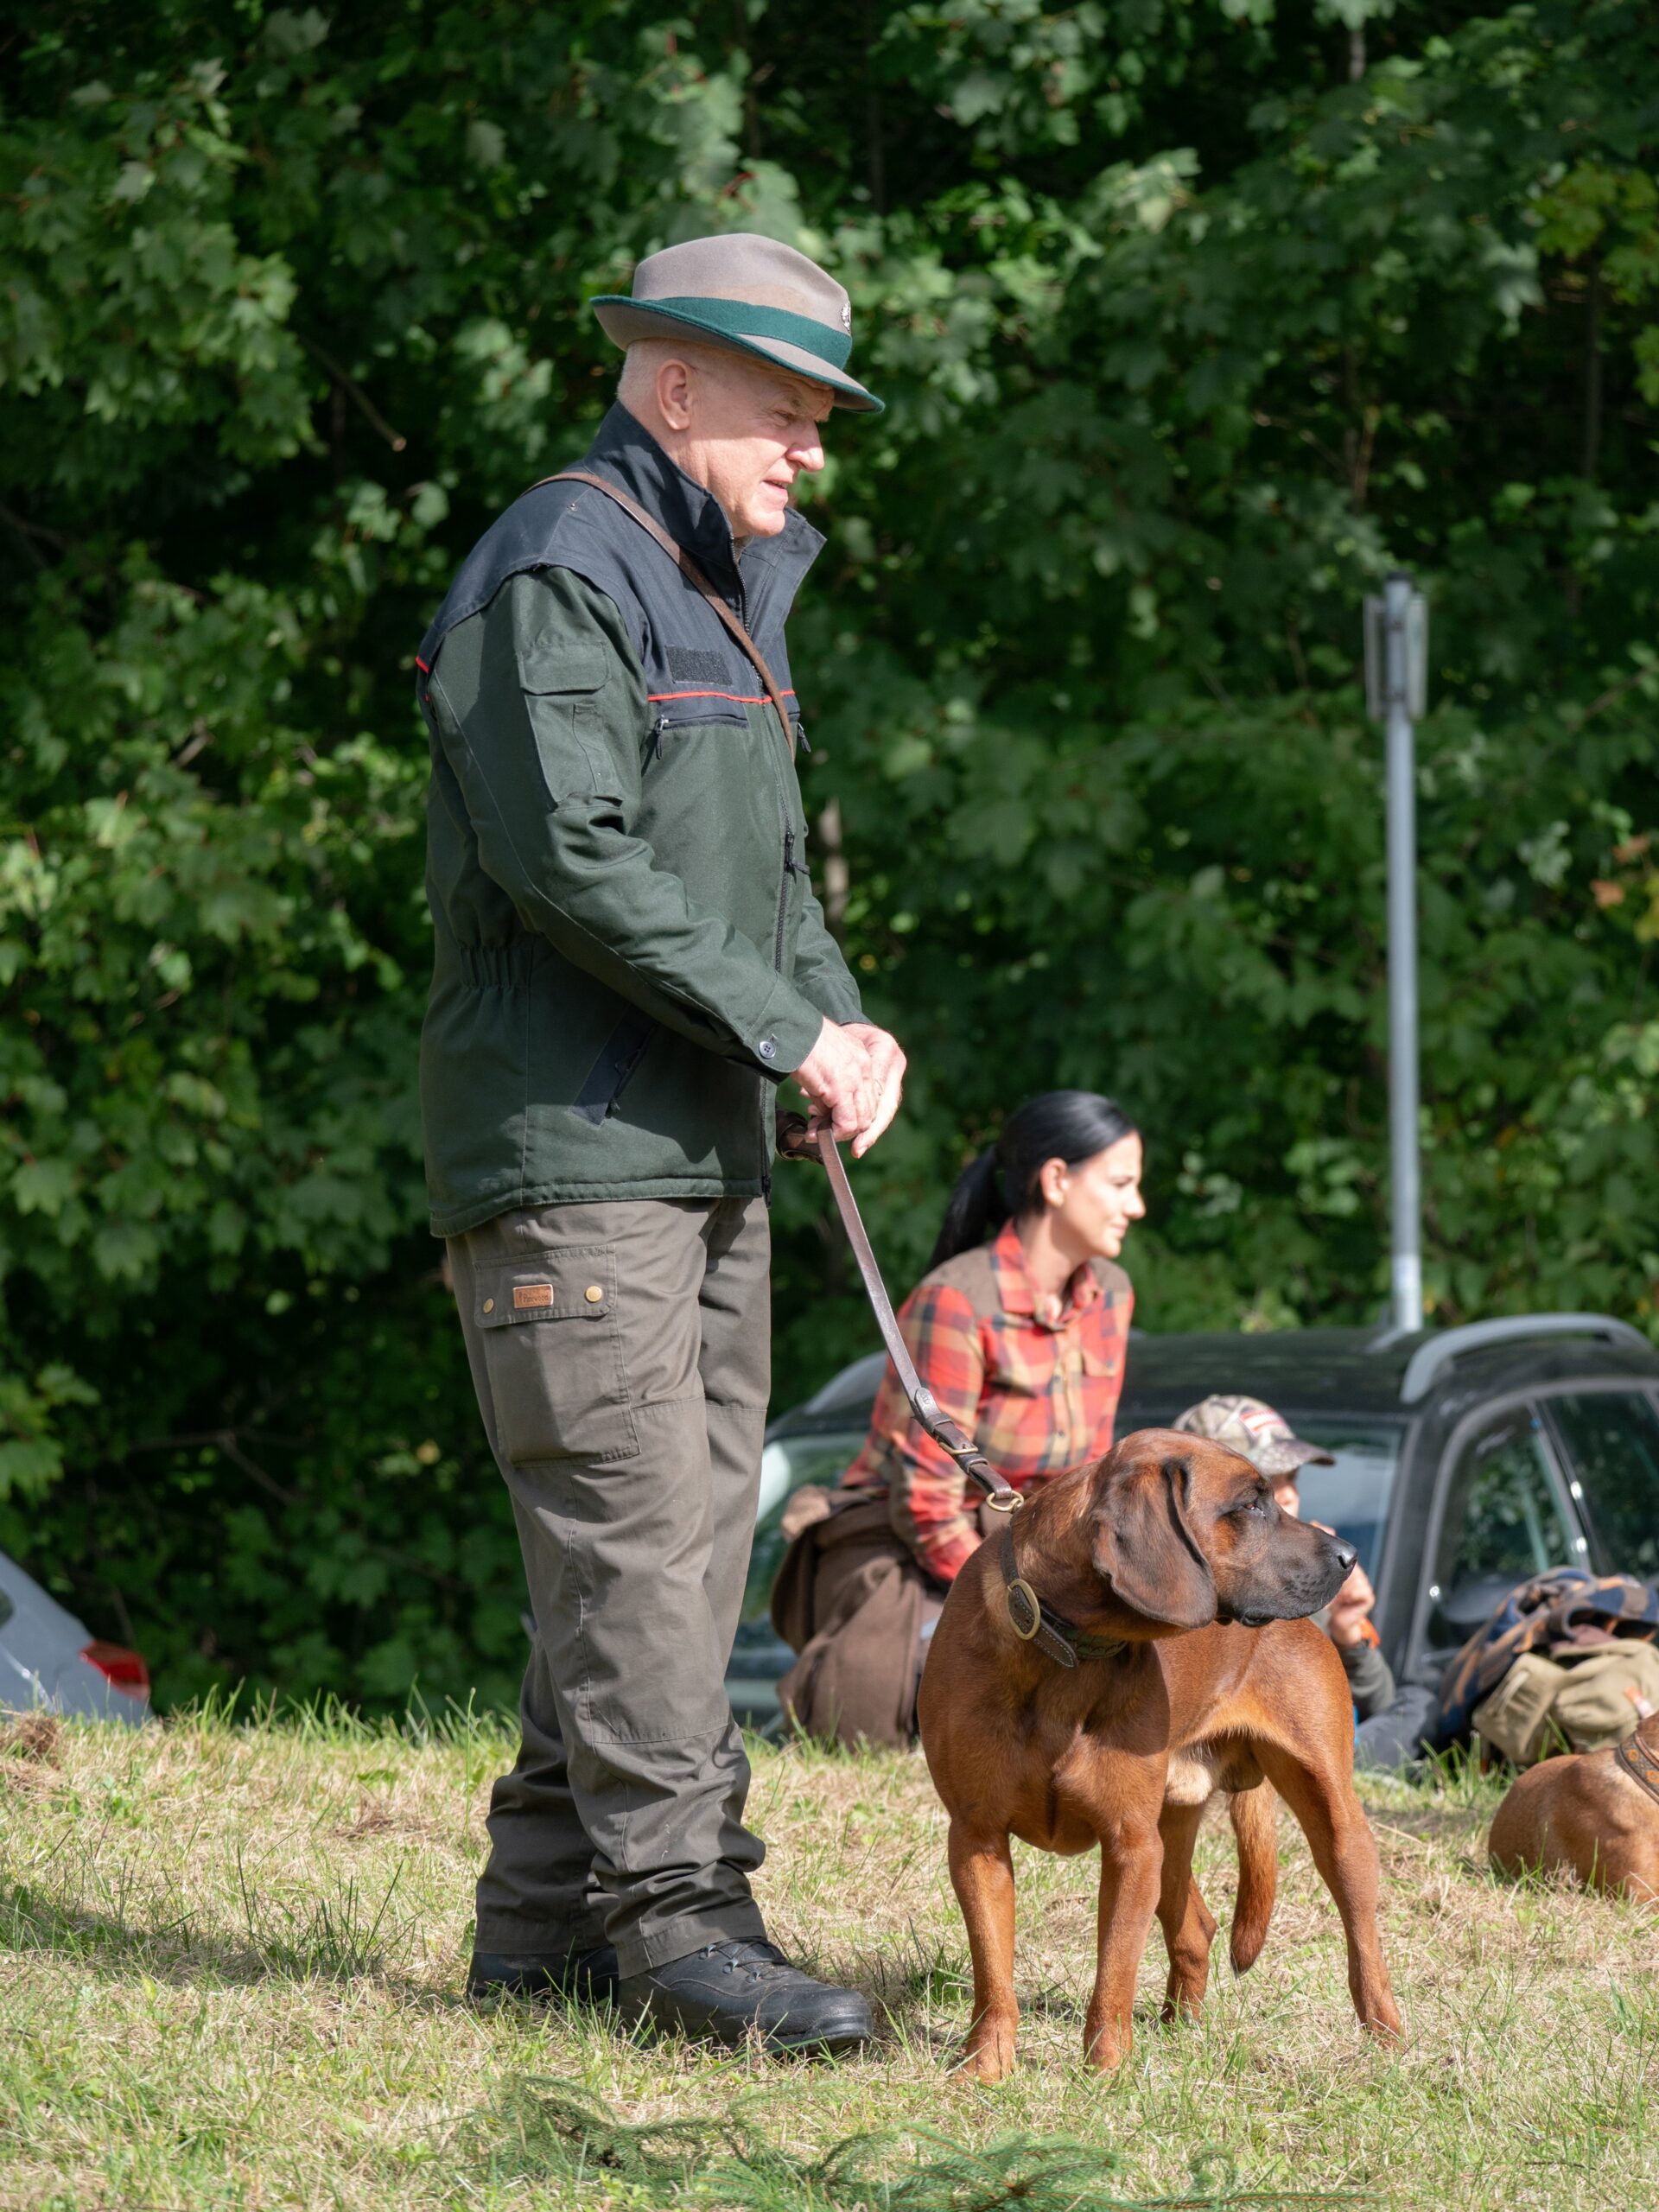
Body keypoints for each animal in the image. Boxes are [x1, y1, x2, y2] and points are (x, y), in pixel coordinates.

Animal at [918, 1428, 1402, 2078]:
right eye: (1251, 1504)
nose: (1350, 1556)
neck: (1066, 1652)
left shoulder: (1132, 1844)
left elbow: (1115, 1973)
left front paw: (1105, 2073)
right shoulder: (977, 1839)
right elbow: (993, 1970)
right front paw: (986, 2067)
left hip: (1331, 1817)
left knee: (1360, 1931)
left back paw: (1386, 2035)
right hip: (1173, 1830)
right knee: (1196, 1926)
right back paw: (1181, 2027)